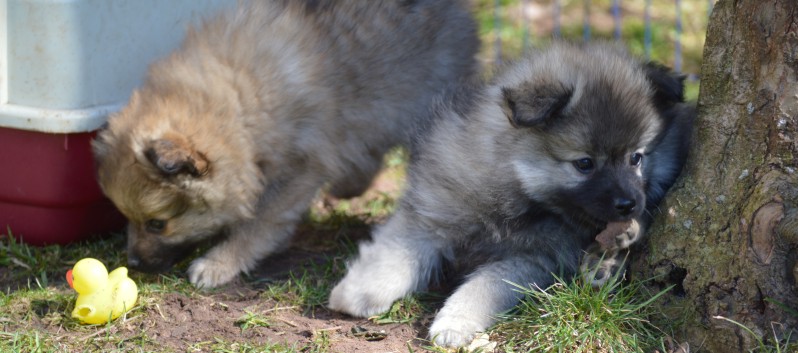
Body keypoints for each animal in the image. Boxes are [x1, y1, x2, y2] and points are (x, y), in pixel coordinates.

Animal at [94, 0, 482, 286]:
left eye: (157, 224)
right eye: (126, 217)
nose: (133, 263)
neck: (234, 102)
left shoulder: (300, 168)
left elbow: (260, 222)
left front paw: (221, 261)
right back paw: (350, 186)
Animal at [330, 42, 692, 346]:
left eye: (636, 157)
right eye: (585, 164)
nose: (627, 204)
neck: (514, 195)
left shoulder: (531, 259)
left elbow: (483, 286)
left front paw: (454, 321)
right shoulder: (432, 213)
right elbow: (395, 254)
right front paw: (357, 292)